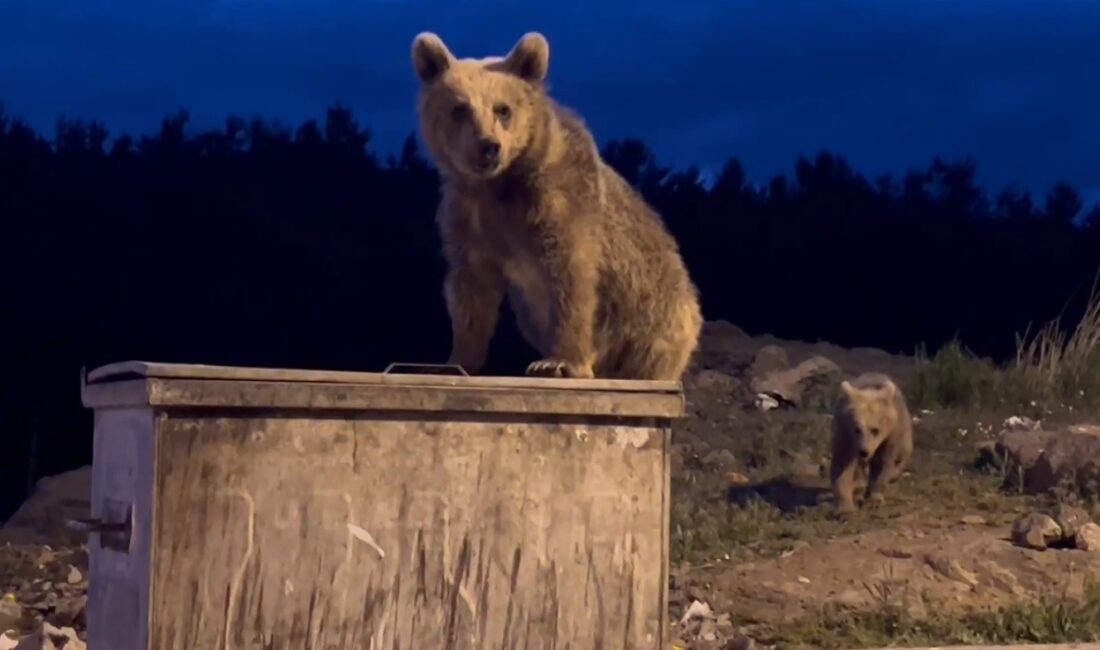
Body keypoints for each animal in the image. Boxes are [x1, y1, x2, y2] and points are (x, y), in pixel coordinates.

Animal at [409, 31, 699, 380]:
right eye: (460, 108)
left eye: (503, 109)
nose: (489, 147)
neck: (500, 185)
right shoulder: (468, 217)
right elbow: (471, 290)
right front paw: (455, 360)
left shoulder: (561, 202)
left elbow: (570, 276)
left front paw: (559, 362)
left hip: (655, 316)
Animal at [827, 373, 915, 516]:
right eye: (857, 429)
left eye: (875, 429)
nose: (864, 452)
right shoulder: (845, 434)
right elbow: (843, 465)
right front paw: (844, 509)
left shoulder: (890, 436)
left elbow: (882, 464)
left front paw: (874, 500)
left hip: (905, 433)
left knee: (901, 456)